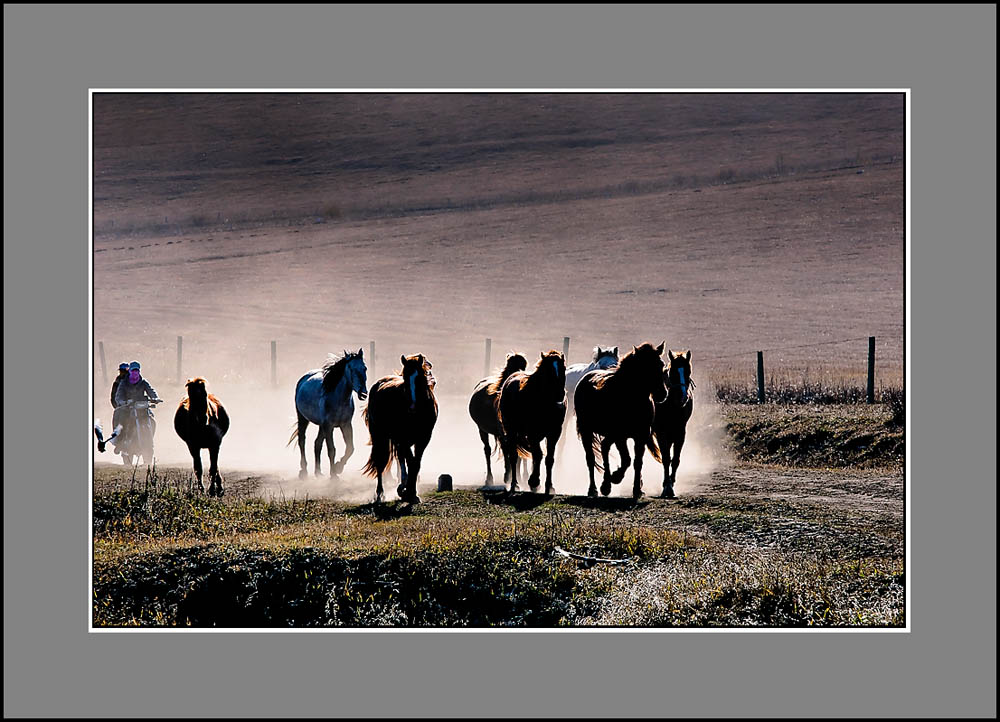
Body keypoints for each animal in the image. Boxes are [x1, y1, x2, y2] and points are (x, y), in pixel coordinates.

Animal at [362, 352, 436, 500]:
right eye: (406, 379)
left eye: (420, 377)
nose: (412, 406)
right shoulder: (403, 439)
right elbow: (411, 462)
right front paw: (410, 492)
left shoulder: (424, 438)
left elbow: (415, 463)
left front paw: (411, 492)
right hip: (380, 437)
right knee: (381, 461)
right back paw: (380, 493)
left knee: (399, 458)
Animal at [468, 350, 532, 480]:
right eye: (510, 366)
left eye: (524, 366)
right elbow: (509, 451)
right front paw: (509, 475)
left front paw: (519, 476)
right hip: (482, 429)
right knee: (487, 450)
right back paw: (490, 478)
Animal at [496, 350, 568, 496]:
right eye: (548, 370)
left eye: (563, 368)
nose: (560, 394)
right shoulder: (533, 434)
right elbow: (538, 455)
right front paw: (534, 482)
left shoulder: (554, 433)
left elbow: (549, 458)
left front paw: (549, 486)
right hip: (512, 431)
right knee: (514, 456)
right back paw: (514, 484)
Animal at [572, 342, 664, 496]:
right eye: (644, 366)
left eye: (661, 364)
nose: (662, 393)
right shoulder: (620, 436)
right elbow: (626, 460)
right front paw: (615, 478)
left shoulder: (641, 436)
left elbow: (637, 462)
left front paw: (637, 489)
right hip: (588, 431)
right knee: (591, 459)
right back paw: (595, 488)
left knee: (605, 447)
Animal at [652, 348, 692, 496]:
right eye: (673, 372)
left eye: (688, 372)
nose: (682, 397)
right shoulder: (661, 433)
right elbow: (666, 459)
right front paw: (666, 486)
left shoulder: (680, 433)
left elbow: (675, 460)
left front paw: (671, 483)